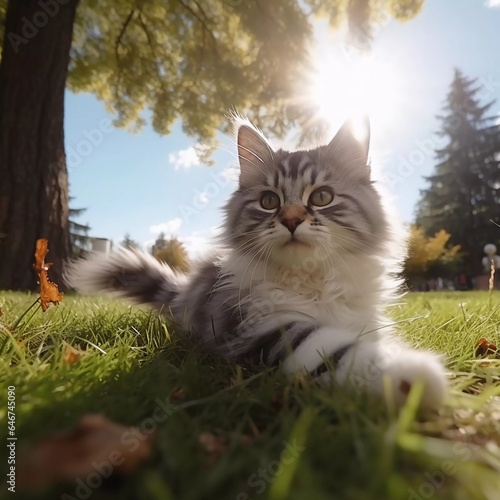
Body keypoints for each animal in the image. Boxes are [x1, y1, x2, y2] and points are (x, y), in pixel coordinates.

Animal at [64, 117, 448, 410]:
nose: (291, 220)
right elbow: (334, 349)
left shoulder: (364, 319)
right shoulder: (262, 327)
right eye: (268, 201)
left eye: (322, 197)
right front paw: (410, 374)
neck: (311, 280)